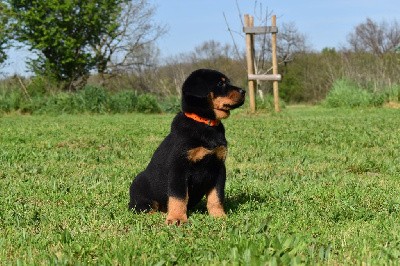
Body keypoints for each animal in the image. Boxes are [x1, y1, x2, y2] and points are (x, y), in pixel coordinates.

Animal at [130, 68, 245, 224]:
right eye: (220, 83)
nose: (244, 91)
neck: (206, 124)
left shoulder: (219, 167)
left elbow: (216, 196)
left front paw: (219, 216)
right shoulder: (179, 168)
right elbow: (178, 196)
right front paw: (176, 218)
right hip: (139, 185)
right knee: (143, 208)